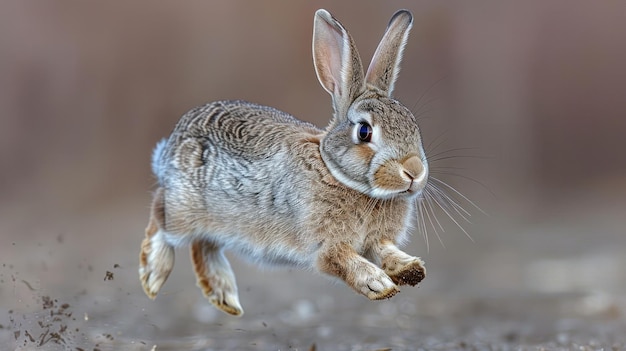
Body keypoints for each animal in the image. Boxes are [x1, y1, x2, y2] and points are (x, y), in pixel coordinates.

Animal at [139, 8, 426, 318]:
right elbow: (343, 260)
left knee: (203, 244)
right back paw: (153, 276)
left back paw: (224, 296)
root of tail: (174, 143)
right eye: (364, 131)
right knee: (160, 216)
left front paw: (411, 269)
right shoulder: (326, 245)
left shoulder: (376, 240)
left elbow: (385, 250)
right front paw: (377, 283)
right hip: (183, 209)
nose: (414, 172)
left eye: (413, 124)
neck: (338, 174)